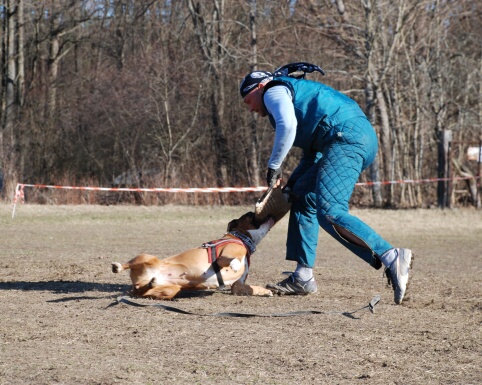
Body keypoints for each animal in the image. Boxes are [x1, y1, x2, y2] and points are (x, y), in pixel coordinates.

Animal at [110, 212, 274, 298]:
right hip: (147, 257)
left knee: (144, 290)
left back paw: (152, 283)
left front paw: (266, 291)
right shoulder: (222, 258)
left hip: (170, 290)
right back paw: (117, 267)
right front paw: (235, 264)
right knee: (127, 265)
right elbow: (232, 260)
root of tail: (137, 284)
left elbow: (252, 288)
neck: (241, 237)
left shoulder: (237, 286)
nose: (270, 214)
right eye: (251, 215)